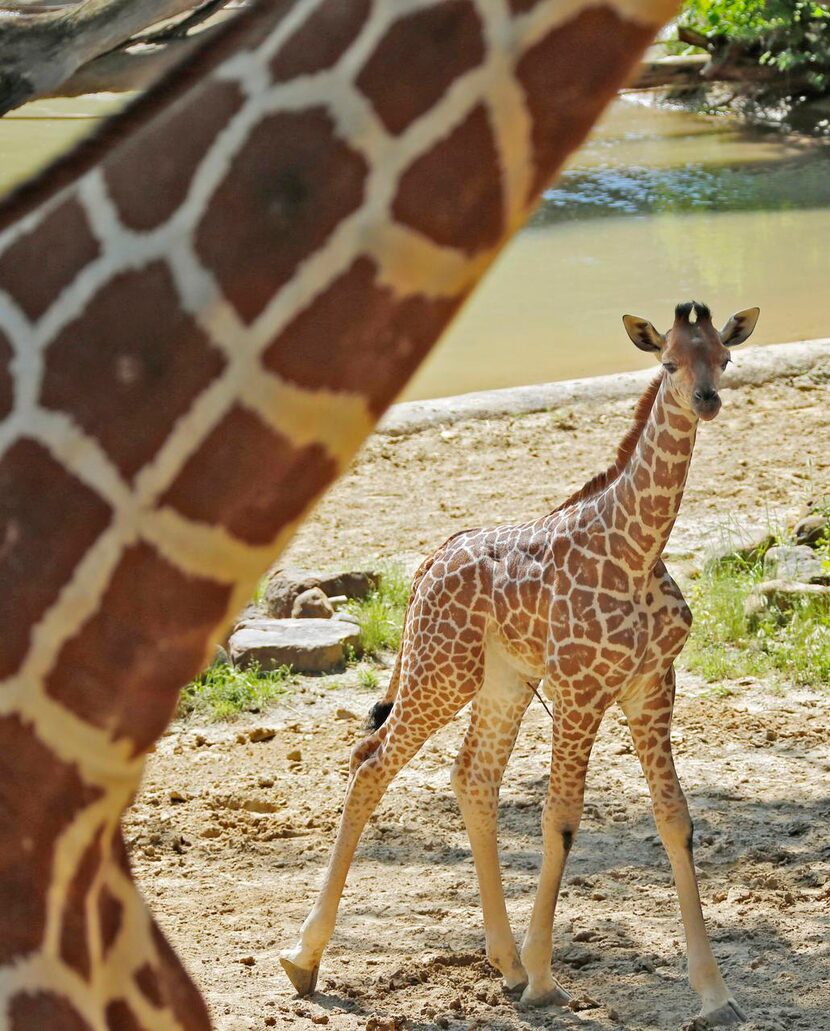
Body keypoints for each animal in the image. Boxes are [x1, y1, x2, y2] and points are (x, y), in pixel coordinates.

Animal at [282, 298, 758, 1022]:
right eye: (669, 362)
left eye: (724, 358)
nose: (706, 400)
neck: (638, 550)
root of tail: (425, 565)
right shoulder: (580, 689)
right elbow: (560, 819)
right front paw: (543, 977)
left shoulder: (652, 685)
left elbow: (675, 818)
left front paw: (715, 993)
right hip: (440, 669)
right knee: (371, 760)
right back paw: (305, 958)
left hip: (500, 678)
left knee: (472, 776)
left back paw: (501, 963)